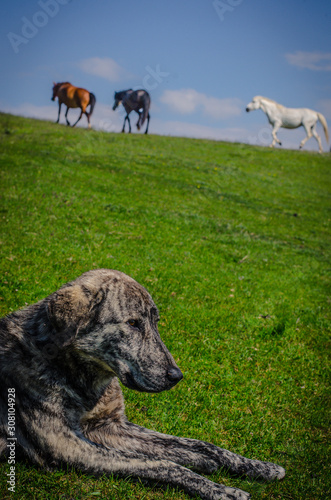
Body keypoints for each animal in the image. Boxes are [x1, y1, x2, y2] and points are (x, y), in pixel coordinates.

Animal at [0, 272, 286, 498]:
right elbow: (160, 463)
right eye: (132, 323)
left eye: (155, 323)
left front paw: (257, 466)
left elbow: (199, 444)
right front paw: (222, 490)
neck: (84, 380)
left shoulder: (110, 426)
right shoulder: (66, 446)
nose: (176, 376)